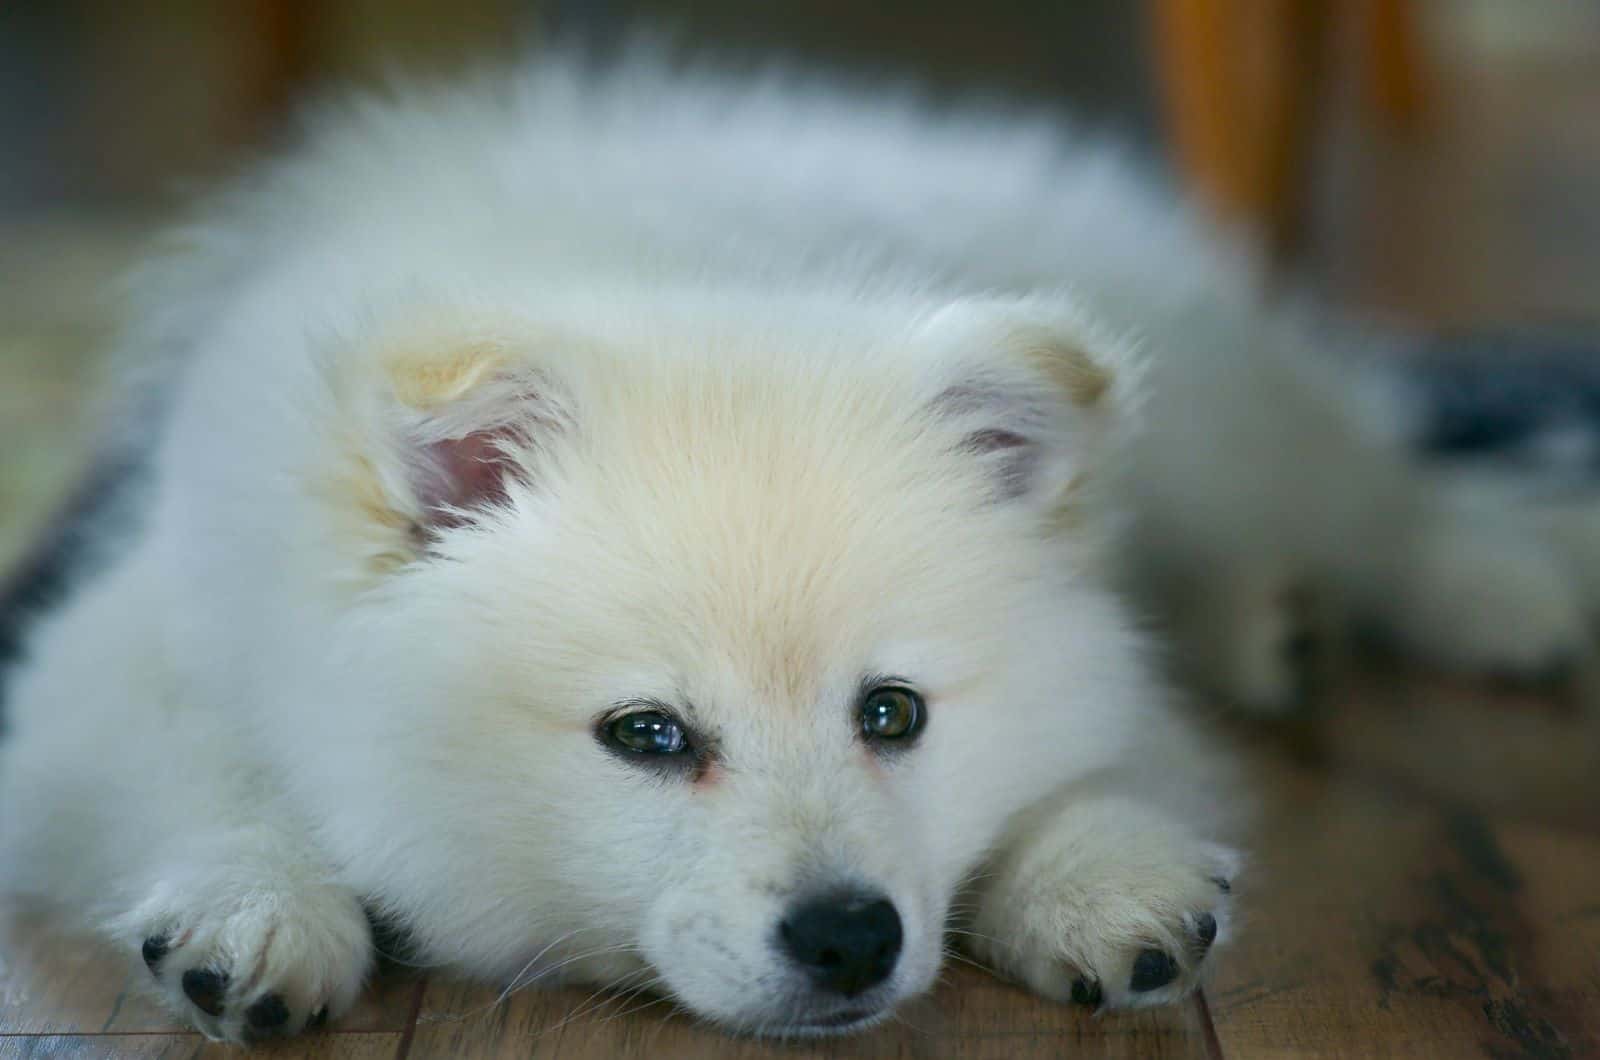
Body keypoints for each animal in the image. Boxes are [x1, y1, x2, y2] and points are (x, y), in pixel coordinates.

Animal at [0, 49, 1587, 1043]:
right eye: (647, 735)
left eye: (892, 714)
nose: (849, 938)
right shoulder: (113, 665)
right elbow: (201, 777)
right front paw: (254, 916)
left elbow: (1114, 751)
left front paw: (1098, 877)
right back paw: (1280, 623)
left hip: (1213, 415)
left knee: (1368, 483)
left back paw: (1501, 587)